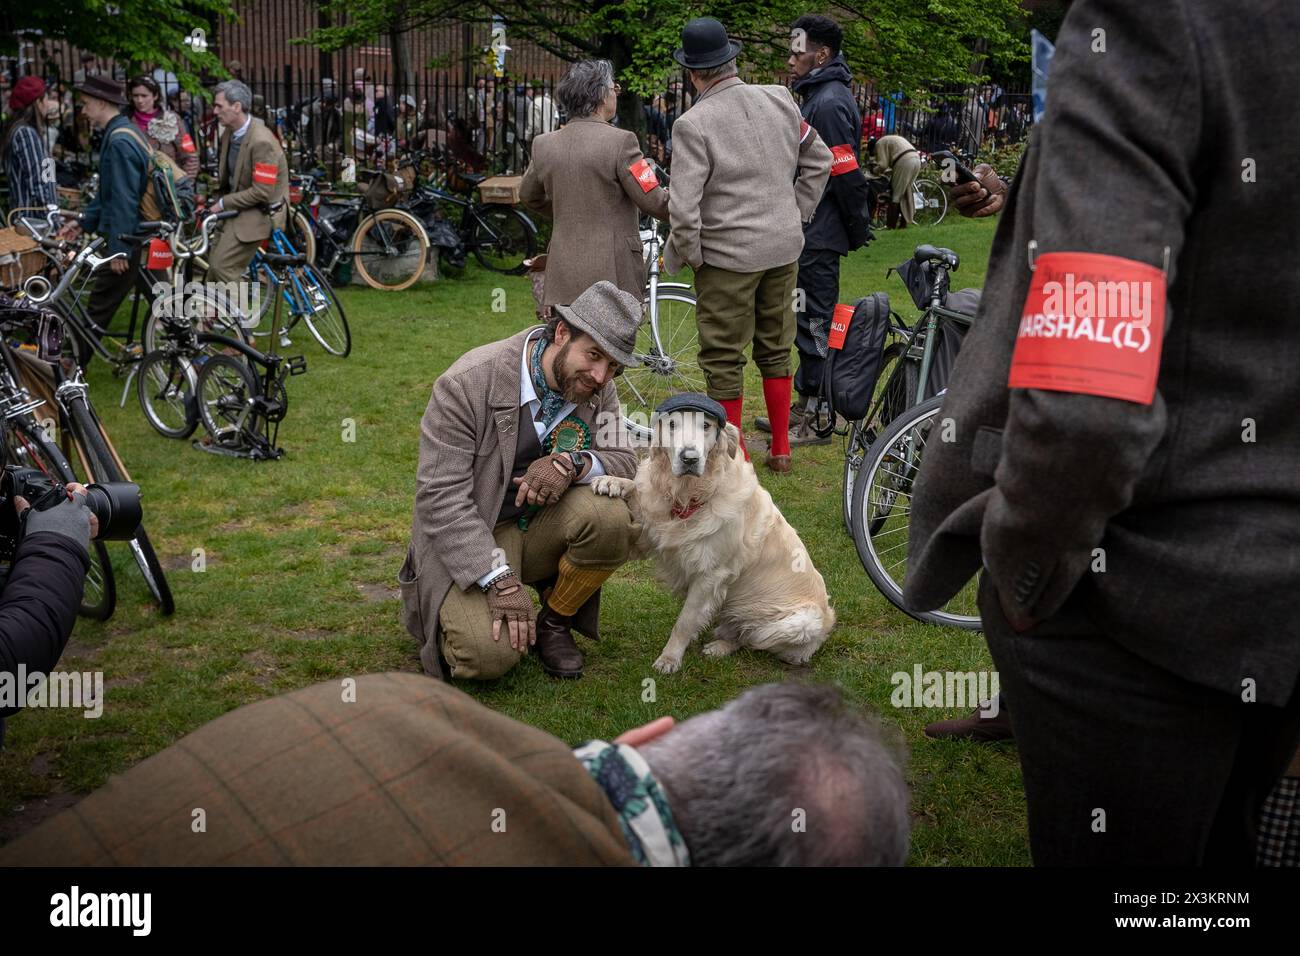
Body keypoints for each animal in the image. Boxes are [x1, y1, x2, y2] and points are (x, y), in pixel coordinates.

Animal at [592, 408, 832, 671]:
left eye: (706, 426)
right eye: (672, 425)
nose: (689, 459)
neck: (689, 494)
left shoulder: (710, 575)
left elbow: (684, 622)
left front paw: (669, 658)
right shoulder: (650, 536)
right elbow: (638, 493)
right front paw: (613, 482)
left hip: (800, 623)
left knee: (750, 639)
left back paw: (720, 647)